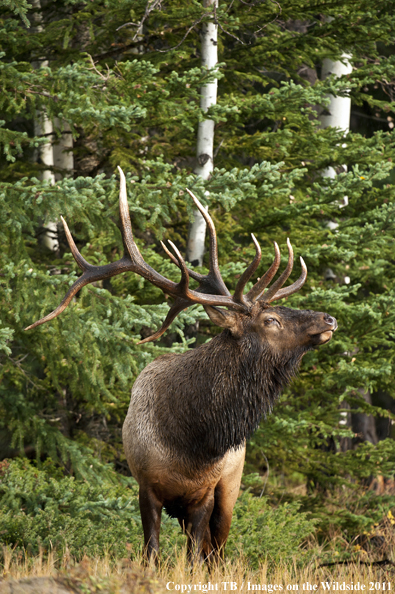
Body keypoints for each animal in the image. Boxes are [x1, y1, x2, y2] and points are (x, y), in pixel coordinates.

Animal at [26, 168, 338, 564]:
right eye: (271, 320)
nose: (329, 318)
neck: (192, 442)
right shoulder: (146, 486)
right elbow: (152, 552)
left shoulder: (205, 493)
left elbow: (192, 560)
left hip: (231, 487)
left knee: (216, 552)